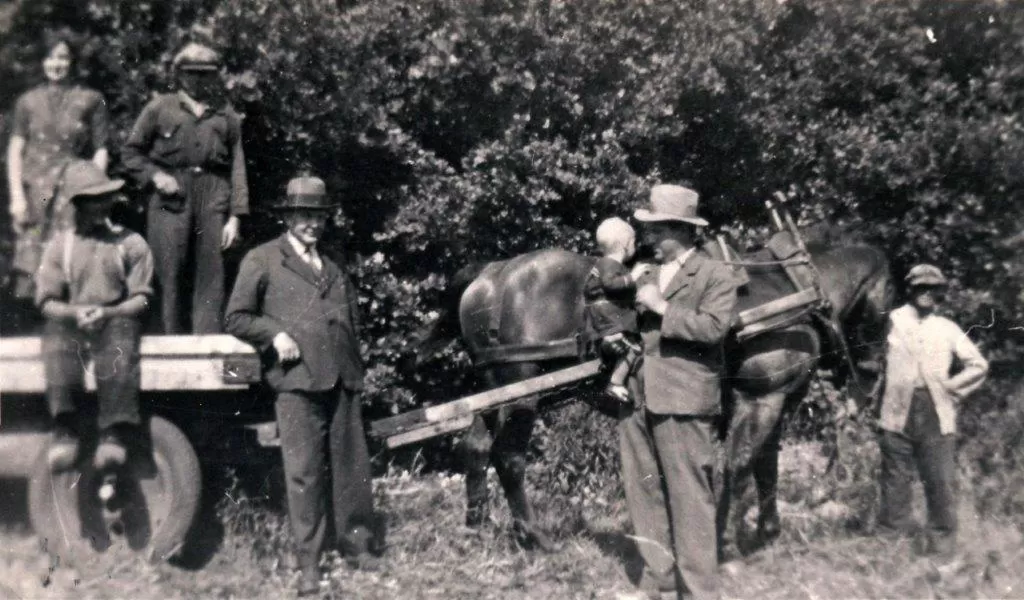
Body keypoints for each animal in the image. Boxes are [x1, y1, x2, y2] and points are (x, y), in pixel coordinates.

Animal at [415, 240, 897, 548]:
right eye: (890, 302)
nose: (872, 374)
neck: (794, 288)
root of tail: (491, 274)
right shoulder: (761, 399)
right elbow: (741, 464)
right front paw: (725, 538)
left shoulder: (778, 402)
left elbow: (767, 465)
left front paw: (766, 531)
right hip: (522, 391)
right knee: (509, 457)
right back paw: (536, 536)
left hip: (493, 388)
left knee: (475, 447)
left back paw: (476, 527)